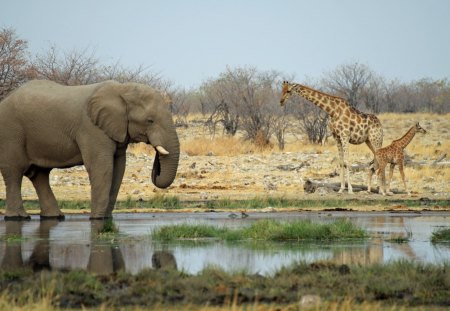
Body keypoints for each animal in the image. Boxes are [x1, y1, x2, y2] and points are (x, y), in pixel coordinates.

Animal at [0, 80, 179, 219]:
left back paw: (54, 216)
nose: (156, 164)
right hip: (11, 132)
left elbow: (118, 168)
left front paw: (106, 219)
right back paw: (18, 217)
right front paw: (97, 219)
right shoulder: (91, 128)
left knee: (39, 175)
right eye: (150, 120)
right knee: (14, 172)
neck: (122, 89)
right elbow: (102, 167)